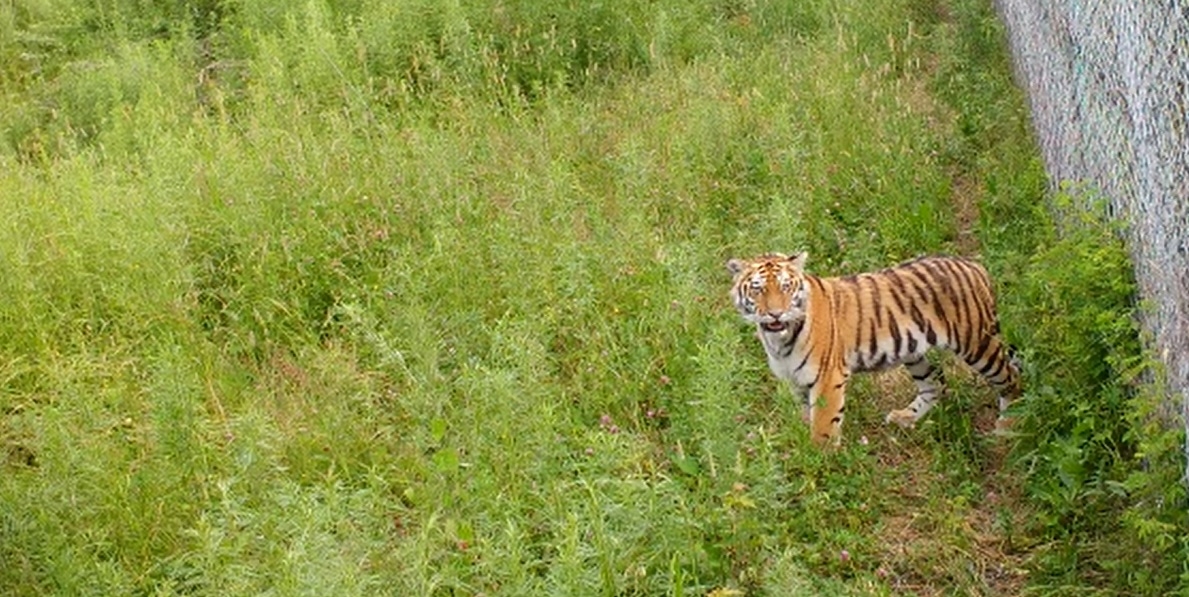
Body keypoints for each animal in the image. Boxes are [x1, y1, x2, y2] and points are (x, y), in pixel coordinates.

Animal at [722, 250, 1022, 442]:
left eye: (785, 287)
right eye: (758, 289)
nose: (775, 314)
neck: (778, 340)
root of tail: (973, 265)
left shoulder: (827, 378)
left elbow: (823, 425)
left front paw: (820, 464)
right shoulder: (795, 380)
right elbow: (806, 416)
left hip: (977, 343)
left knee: (1012, 378)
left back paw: (1008, 426)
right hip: (913, 351)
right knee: (936, 382)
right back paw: (906, 418)